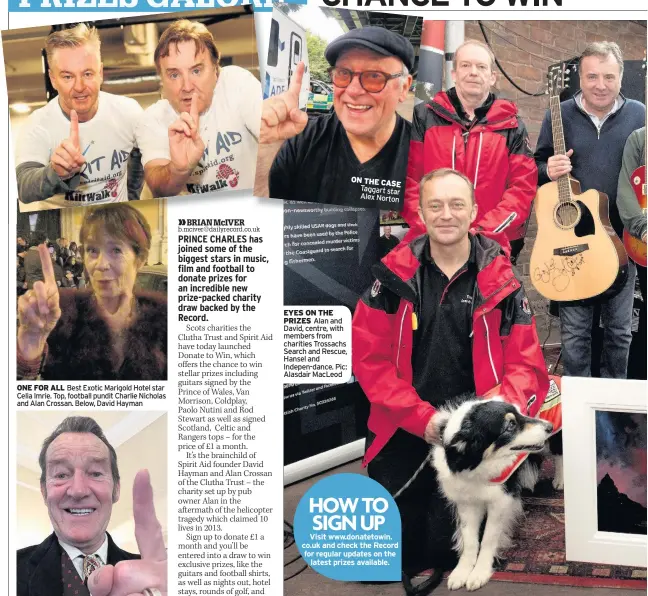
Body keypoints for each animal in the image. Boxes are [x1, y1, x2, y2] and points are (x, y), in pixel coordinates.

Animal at [430, 398, 552, 588]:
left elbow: (488, 537)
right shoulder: (466, 501)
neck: (476, 468)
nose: (549, 427)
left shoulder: (500, 500)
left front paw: (479, 572)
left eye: (520, 413)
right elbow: (469, 539)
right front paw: (461, 571)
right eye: (510, 425)